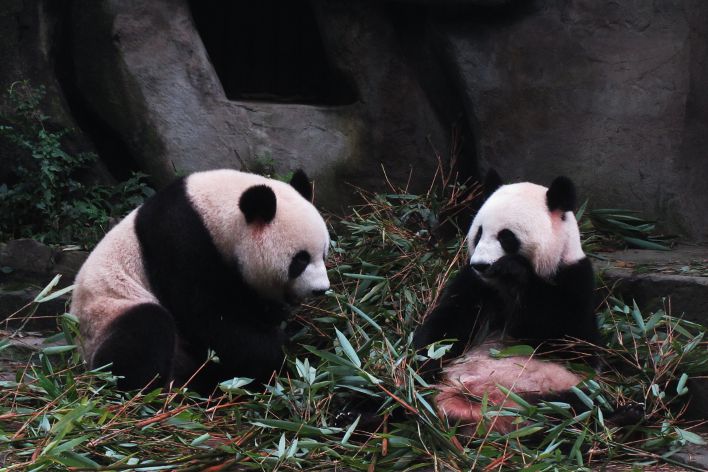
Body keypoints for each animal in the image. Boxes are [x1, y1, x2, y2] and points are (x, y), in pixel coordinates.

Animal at [71, 169, 330, 392]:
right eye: (301, 260)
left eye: (324, 253)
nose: (321, 289)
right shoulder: (178, 244)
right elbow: (205, 317)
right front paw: (276, 354)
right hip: (106, 313)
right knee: (142, 333)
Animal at [413, 170, 602, 434]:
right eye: (479, 232)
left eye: (506, 237)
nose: (481, 264)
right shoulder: (475, 284)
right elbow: (448, 325)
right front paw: (424, 363)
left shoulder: (574, 281)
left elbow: (562, 337)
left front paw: (513, 271)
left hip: (560, 389)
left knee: (571, 409)